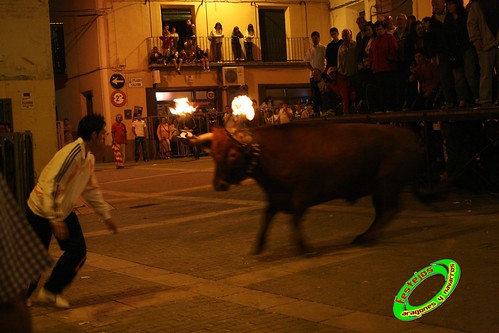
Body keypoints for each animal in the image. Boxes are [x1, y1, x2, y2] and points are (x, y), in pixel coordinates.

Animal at [189, 122, 424, 254]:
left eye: (233, 154)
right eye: (213, 154)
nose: (218, 185)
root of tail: (410, 136)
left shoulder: (301, 194)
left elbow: (295, 219)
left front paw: (304, 247)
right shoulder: (276, 197)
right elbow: (266, 218)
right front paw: (259, 245)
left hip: (386, 183)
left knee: (389, 210)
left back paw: (366, 238)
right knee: (384, 212)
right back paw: (364, 236)